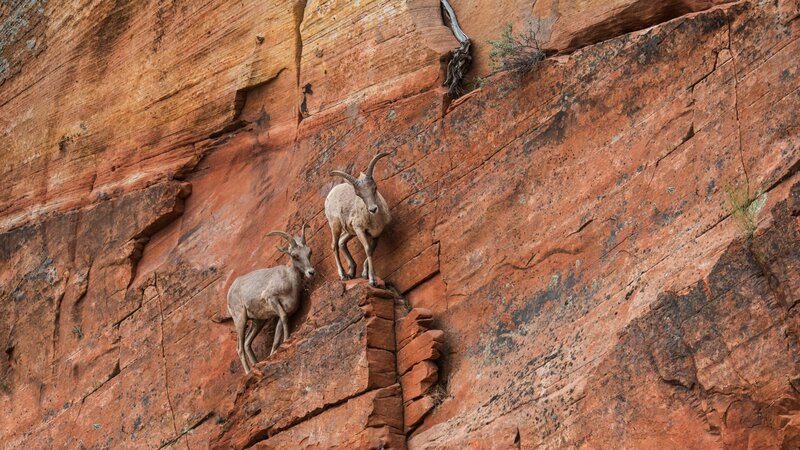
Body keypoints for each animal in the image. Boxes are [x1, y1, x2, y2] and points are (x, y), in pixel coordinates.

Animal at [226, 226, 315, 374]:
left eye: (309, 252)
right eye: (294, 255)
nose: (311, 272)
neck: (290, 282)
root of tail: (230, 290)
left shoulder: (282, 312)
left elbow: (277, 336)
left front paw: (274, 352)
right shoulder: (271, 298)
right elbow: (284, 319)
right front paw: (287, 339)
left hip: (258, 321)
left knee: (247, 343)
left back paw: (256, 365)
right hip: (240, 319)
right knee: (239, 348)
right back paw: (248, 372)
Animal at [325, 152, 392, 287]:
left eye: (375, 187)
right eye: (359, 194)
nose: (373, 209)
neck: (375, 220)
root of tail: (329, 196)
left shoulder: (376, 234)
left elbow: (371, 249)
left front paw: (365, 274)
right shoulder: (360, 230)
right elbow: (368, 250)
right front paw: (372, 281)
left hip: (350, 231)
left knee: (341, 242)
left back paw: (351, 273)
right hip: (336, 226)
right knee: (334, 245)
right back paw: (343, 275)